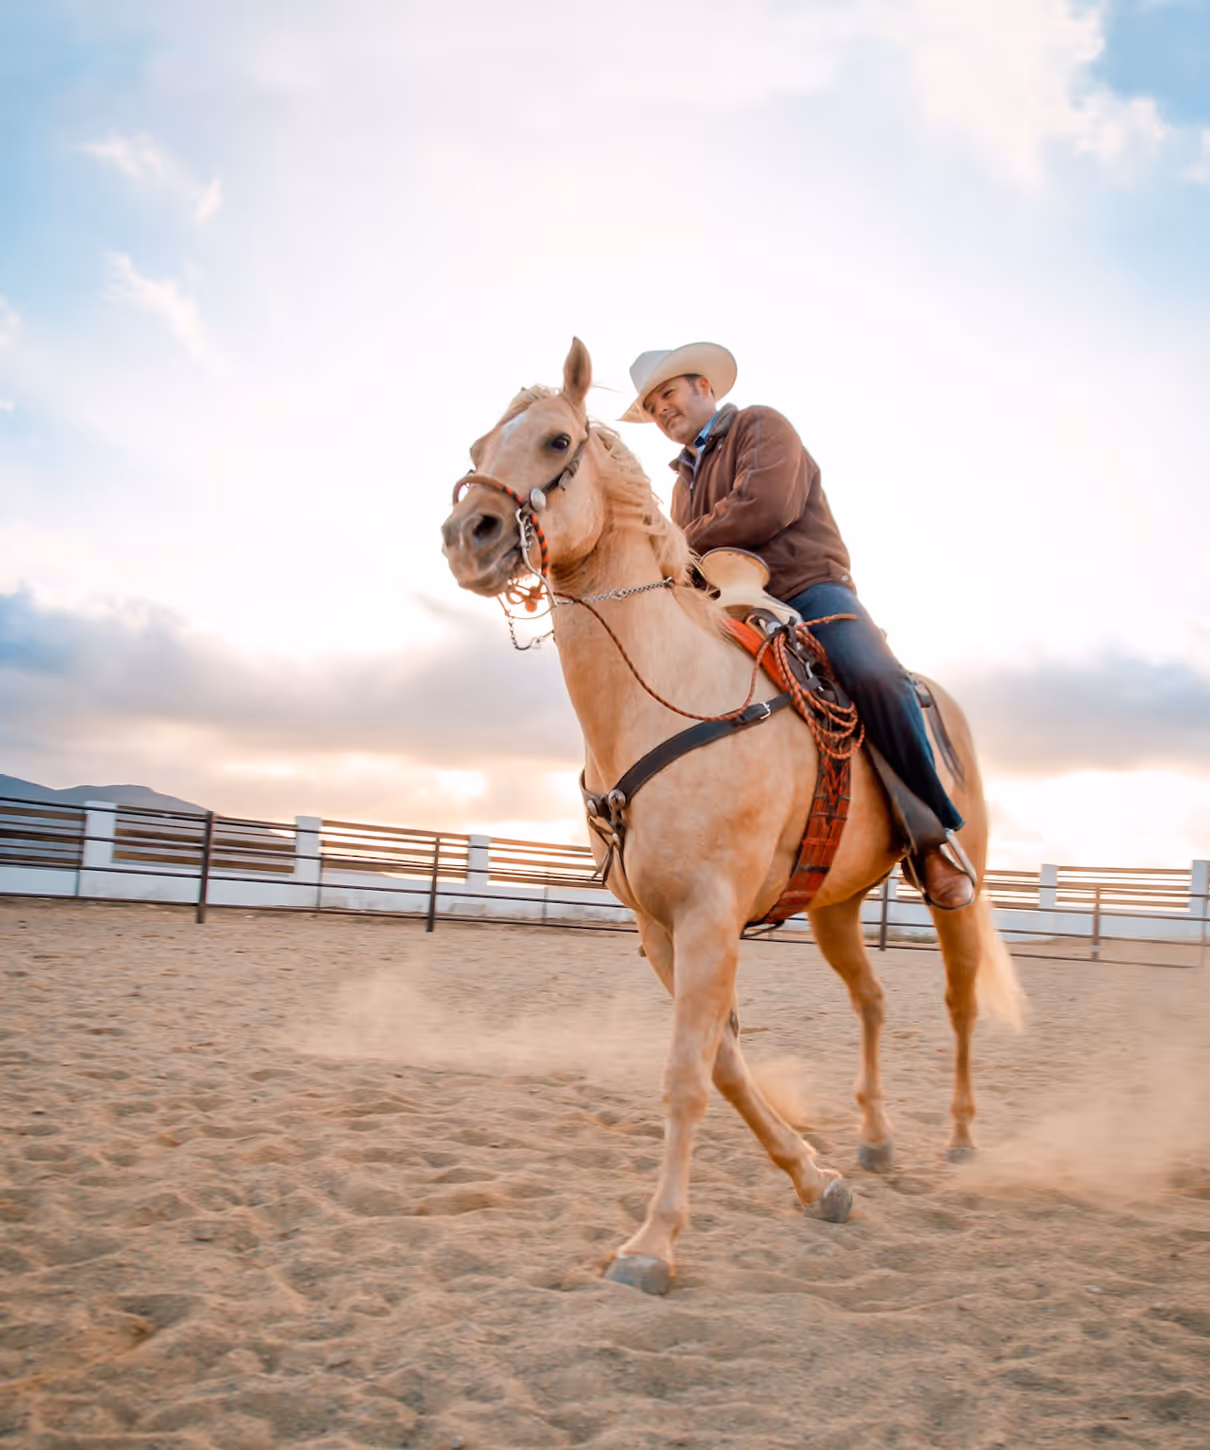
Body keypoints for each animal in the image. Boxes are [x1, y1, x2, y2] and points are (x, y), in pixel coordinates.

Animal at [441, 338, 1024, 1295]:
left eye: (557, 439)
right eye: (480, 446)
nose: (468, 535)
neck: (666, 698)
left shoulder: (710, 916)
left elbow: (687, 1072)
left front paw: (651, 1245)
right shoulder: (660, 928)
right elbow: (722, 1060)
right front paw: (817, 1179)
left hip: (954, 891)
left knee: (959, 1001)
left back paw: (964, 1139)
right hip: (834, 906)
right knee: (871, 1000)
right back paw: (874, 1140)